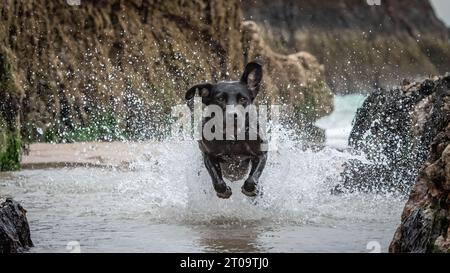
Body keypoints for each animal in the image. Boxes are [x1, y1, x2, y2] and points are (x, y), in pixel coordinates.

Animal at [185, 61, 268, 198]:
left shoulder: (261, 154)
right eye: (220, 99)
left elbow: (252, 178)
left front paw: (250, 189)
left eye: (243, 99)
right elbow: (217, 179)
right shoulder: (208, 155)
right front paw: (223, 191)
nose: (232, 115)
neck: (232, 138)